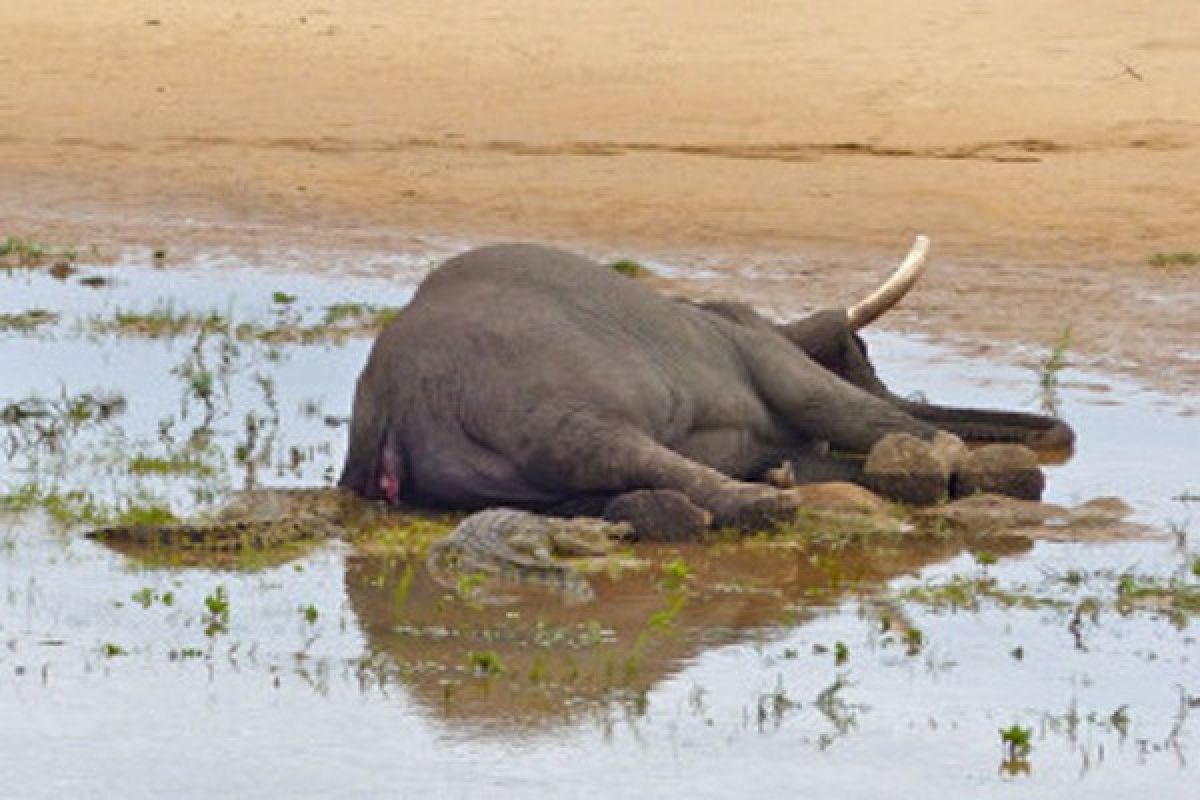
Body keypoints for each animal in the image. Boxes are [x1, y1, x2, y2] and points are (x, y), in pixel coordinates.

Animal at [336, 237, 1070, 537]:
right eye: (856, 355)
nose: (1061, 431)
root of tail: (387, 406)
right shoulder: (756, 347)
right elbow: (834, 406)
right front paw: (954, 461)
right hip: (522, 397)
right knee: (599, 447)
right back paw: (765, 505)